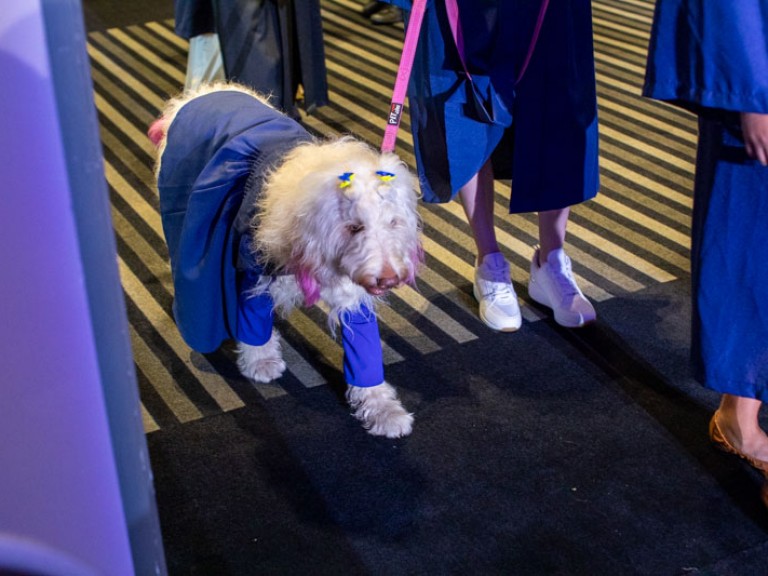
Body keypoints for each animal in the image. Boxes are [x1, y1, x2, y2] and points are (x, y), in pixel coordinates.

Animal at [148, 83, 424, 438]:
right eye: (355, 226)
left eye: (393, 222)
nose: (389, 279)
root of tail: (206, 92)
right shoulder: (254, 269)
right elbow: (252, 321)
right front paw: (260, 360)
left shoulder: (353, 293)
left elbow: (364, 351)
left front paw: (382, 409)